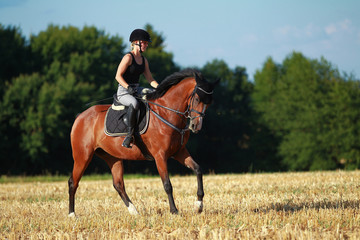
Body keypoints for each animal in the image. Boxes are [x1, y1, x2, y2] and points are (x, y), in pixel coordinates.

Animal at [68, 68, 218, 216]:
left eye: (209, 103)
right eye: (197, 98)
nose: (195, 126)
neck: (166, 113)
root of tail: (80, 116)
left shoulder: (179, 152)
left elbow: (198, 170)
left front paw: (198, 205)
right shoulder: (160, 156)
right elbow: (167, 185)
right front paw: (174, 211)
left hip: (112, 157)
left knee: (118, 184)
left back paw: (134, 211)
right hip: (83, 156)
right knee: (73, 182)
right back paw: (72, 214)